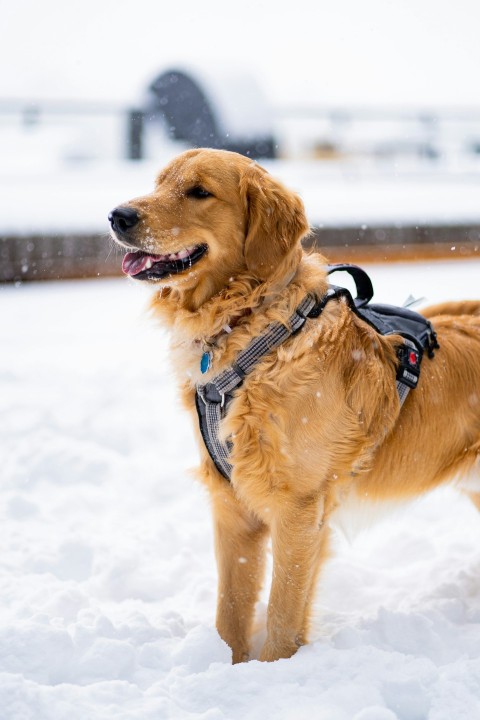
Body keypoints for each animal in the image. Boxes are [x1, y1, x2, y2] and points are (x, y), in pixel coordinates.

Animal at [109, 148, 480, 664]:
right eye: (158, 182)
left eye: (199, 191)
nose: (117, 216)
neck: (253, 335)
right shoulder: (231, 504)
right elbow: (231, 608)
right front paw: (226, 665)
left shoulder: (300, 508)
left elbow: (284, 612)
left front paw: (272, 669)